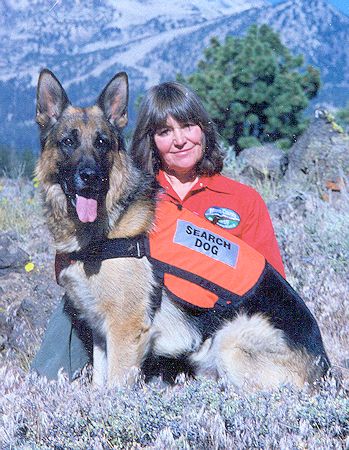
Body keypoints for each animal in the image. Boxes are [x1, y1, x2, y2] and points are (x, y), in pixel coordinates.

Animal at [36, 70, 328, 390]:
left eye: (102, 143)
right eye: (68, 142)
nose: (89, 177)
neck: (110, 223)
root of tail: (324, 371)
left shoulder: (125, 330)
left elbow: (116, 387)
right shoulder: (101, 332)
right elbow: (100, 386)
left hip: (232, 338)